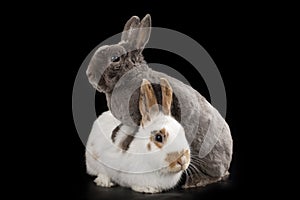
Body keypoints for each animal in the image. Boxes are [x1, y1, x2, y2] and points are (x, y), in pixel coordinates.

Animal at [85, 14, 233, 188]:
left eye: (115, 58)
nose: (89, 74)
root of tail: (227, 162)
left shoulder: (137, 120)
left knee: (213, 176)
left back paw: (194, 182)